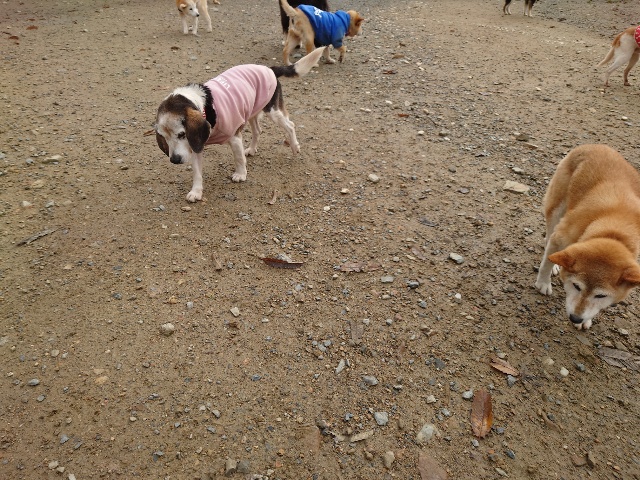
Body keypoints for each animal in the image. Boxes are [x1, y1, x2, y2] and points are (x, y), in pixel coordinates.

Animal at [155, 47, 326, 203]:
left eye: (181, 134)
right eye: (164, 137)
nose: (174, 160)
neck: (204, 106)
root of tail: (269, 69)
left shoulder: (234, 137)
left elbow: (238, 158)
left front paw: (241, 174)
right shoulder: (196, 144)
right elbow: (197, 172)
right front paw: (196, 192)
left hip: (273, 111)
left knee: (290, 125)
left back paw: (295, 146)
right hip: (252, 111)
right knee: (258, 130)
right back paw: (252, 149)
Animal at [535, 144, 640, 330]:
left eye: (601, 296)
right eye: (576, 286)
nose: (576, 318)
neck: (612, 230)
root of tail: (595, 145)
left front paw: (586, 320)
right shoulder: (560, 236)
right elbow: (546, 263)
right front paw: (543, 283)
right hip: (556, 210)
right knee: (548, 239)